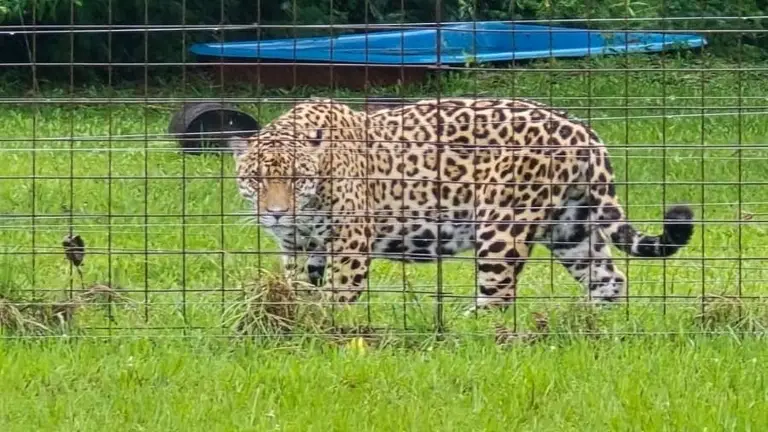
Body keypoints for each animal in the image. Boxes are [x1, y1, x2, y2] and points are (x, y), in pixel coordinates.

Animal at [229, 97, 694, 312]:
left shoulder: (350, 243)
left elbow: (341, 292)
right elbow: (297, 287)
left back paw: (463, 326)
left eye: (295, 179)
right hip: (570, 227)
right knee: (609, 278)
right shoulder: (296, 247)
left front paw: (329, 325)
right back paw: (590, 322)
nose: (276, 213)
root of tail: (583, 132)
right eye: (256, 180)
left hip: (502, 224)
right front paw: (296, 317)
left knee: (499, 295)